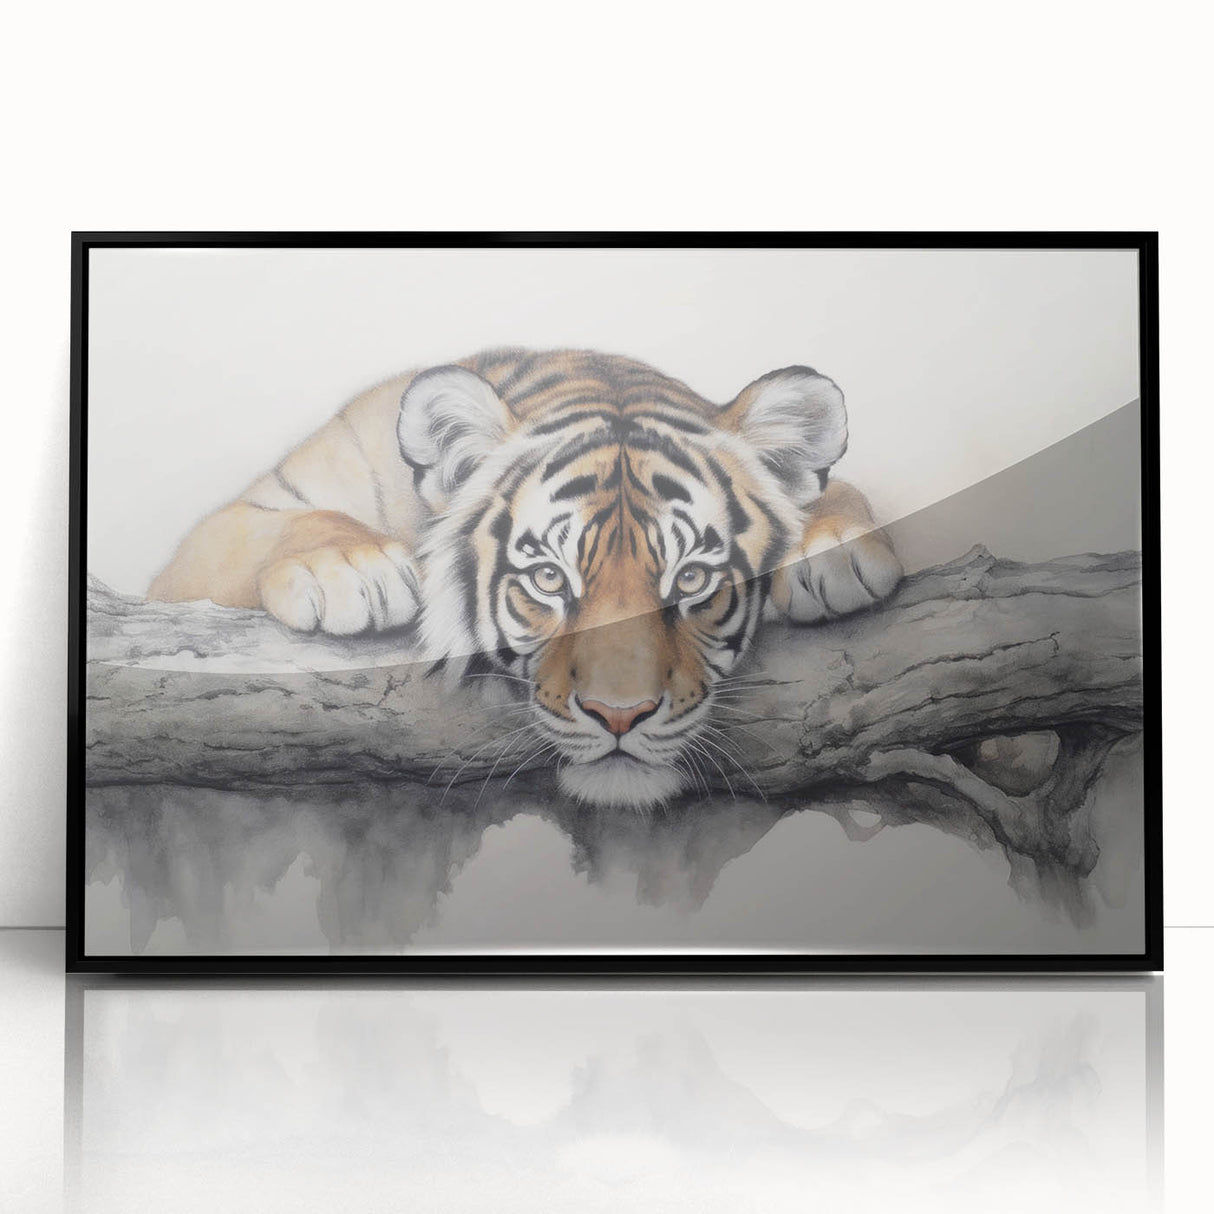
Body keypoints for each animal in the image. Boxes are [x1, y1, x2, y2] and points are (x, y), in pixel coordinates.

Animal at [149, 348, 902, 809]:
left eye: (692, 579)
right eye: (547, 578)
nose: (620, 715)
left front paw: (833, 547)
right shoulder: (214, 540)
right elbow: (293, 523)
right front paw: (352, 568)